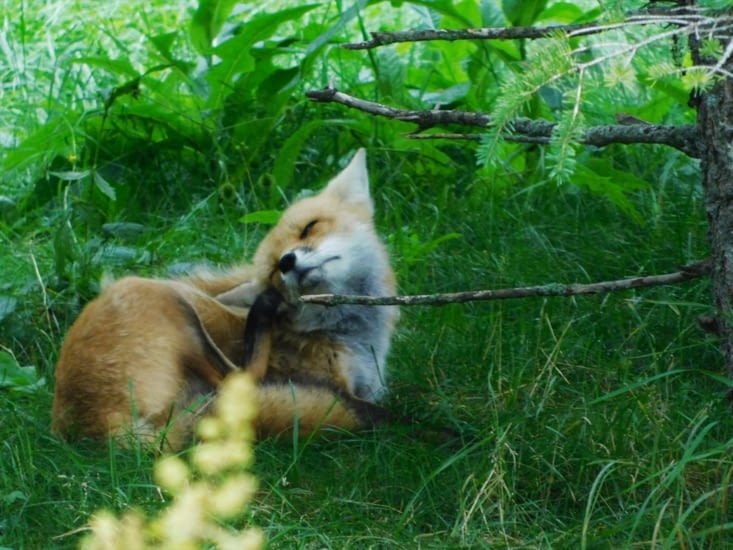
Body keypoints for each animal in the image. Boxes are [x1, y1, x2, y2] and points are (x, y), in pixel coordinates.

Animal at [51, 149, 399, 450]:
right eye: (274, 271)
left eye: (309, 227)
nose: (287, 262)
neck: (353, 336)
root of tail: (100, 430)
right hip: (162, 298)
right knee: (239, 380)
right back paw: (262, 313)